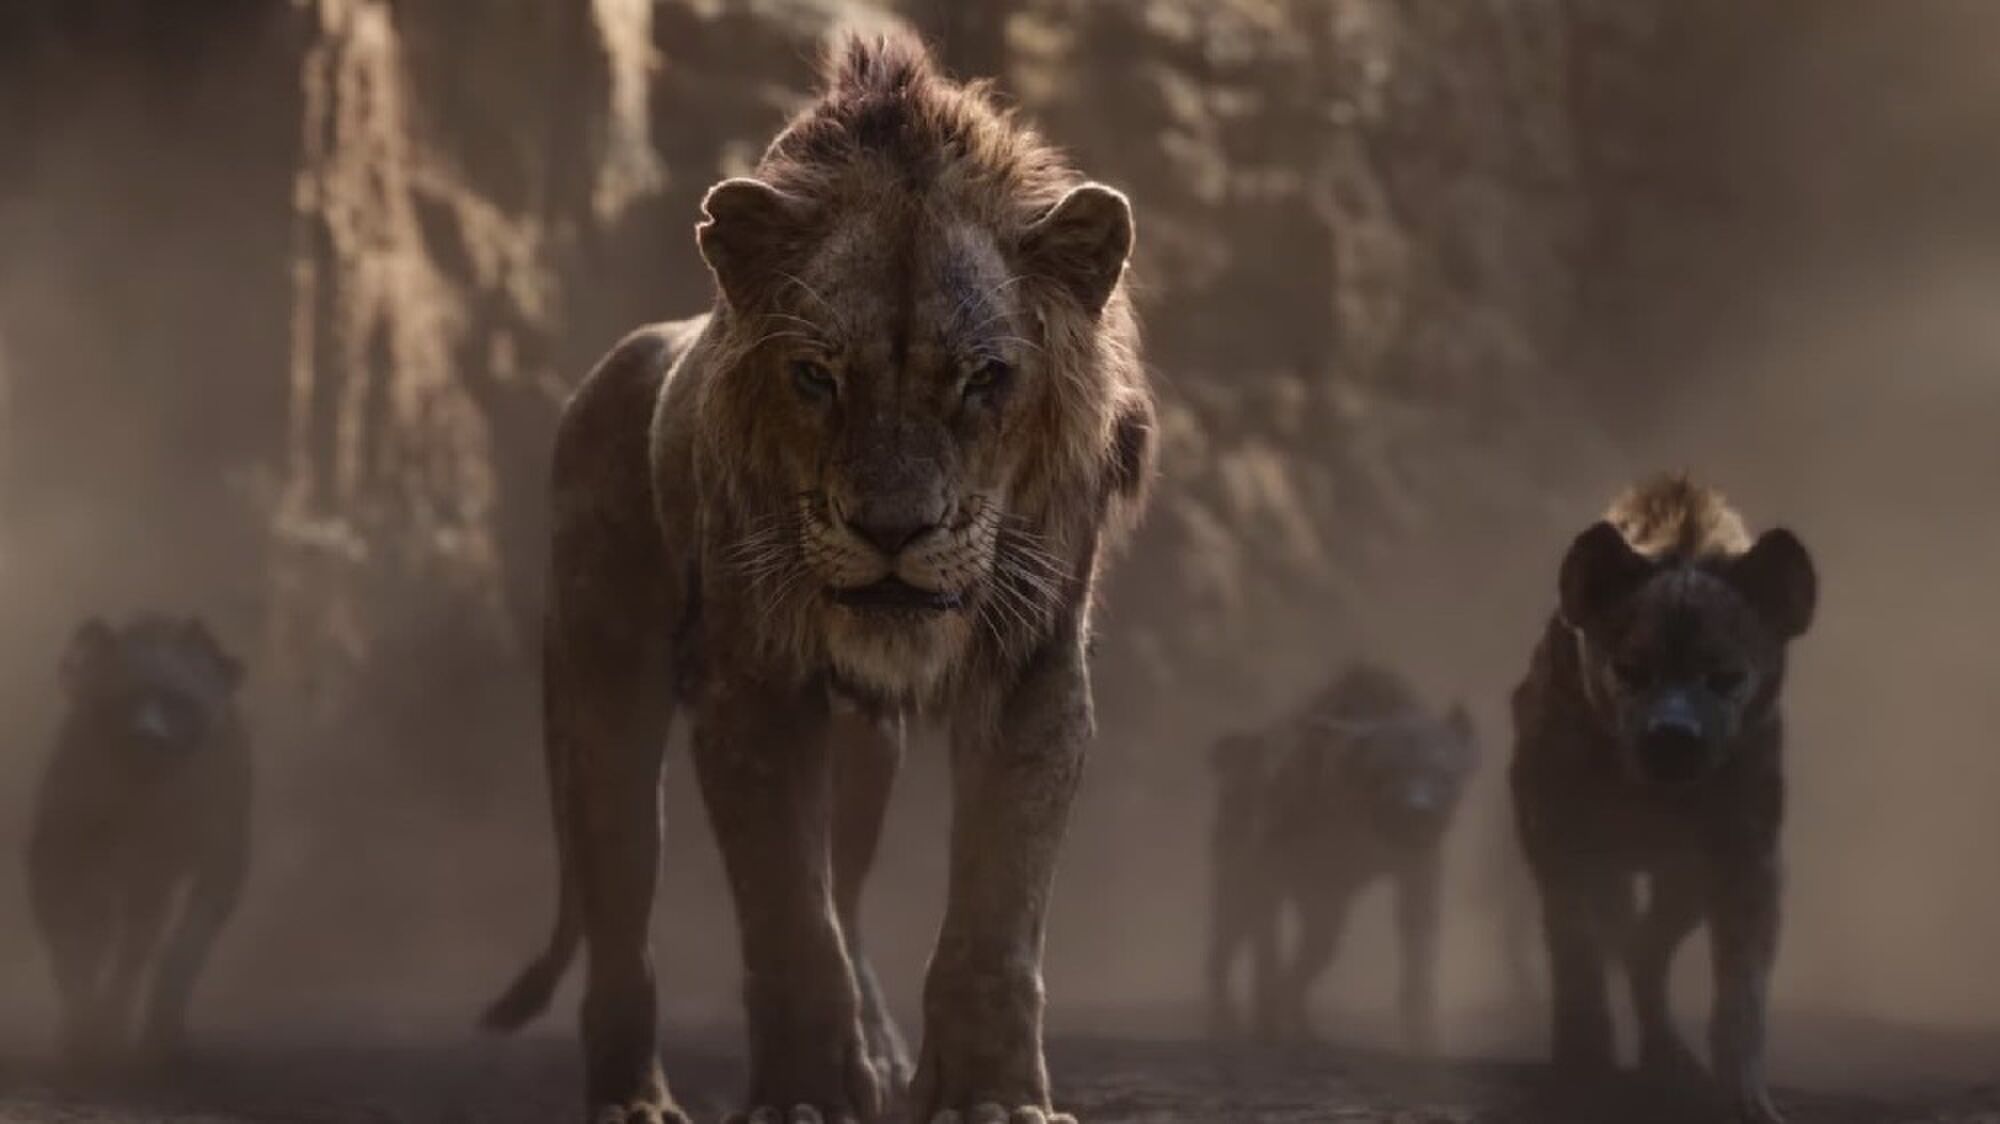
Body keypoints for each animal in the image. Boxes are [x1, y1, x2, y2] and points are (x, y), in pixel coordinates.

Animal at [26, 615, 250, 1068]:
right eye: (124, 698)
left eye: (179, 700)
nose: (149, 737)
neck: (146, 800)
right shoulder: (58, 854)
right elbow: (74, 947)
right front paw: (82, 1031)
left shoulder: (216, 863)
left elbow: (182, 951)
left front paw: (159, 1034)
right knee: (115, 940)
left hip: (150, 883)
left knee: (135, 949)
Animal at [480, 31, 1154, 1124]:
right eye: (816, 377)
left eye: (983, 379)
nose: (890, 529)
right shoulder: (750, 684)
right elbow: (787, 918)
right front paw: (803, 1096)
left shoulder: (1034, 671)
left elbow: (994, 913)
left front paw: (987, 1095)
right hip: (602, 695)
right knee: (624, 914)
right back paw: (633, 1098)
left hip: (862, 751)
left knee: (844, 885)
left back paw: (879, 1053)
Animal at [1206, 663, 1478, 1054]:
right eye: (1383, 772)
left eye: (1444, 774)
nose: (1419, 812)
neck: (1356, 825)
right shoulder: (1268, 866)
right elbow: (1265, 952)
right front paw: (1263, 1030)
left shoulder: (1418, 872)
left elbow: (1418, 955)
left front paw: (1424, 1040)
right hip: (1235, 882)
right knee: (1222, 948)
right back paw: (1223, 1023)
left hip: (1326, 912)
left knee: (1307, 961)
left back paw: (1305, 1032)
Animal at [1509, 475, 1816, 1124]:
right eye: (1631, 669)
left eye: (1725, 676)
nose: (1673, 735)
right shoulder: (1566, 838)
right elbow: (1578, 956)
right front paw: (1583, 1068)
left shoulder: (1746, 854)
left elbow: (1742, 989)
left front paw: (1744, 1098)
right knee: (1616, 941)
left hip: (1685, 884)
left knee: (1646, 947)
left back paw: (1667, 1058)